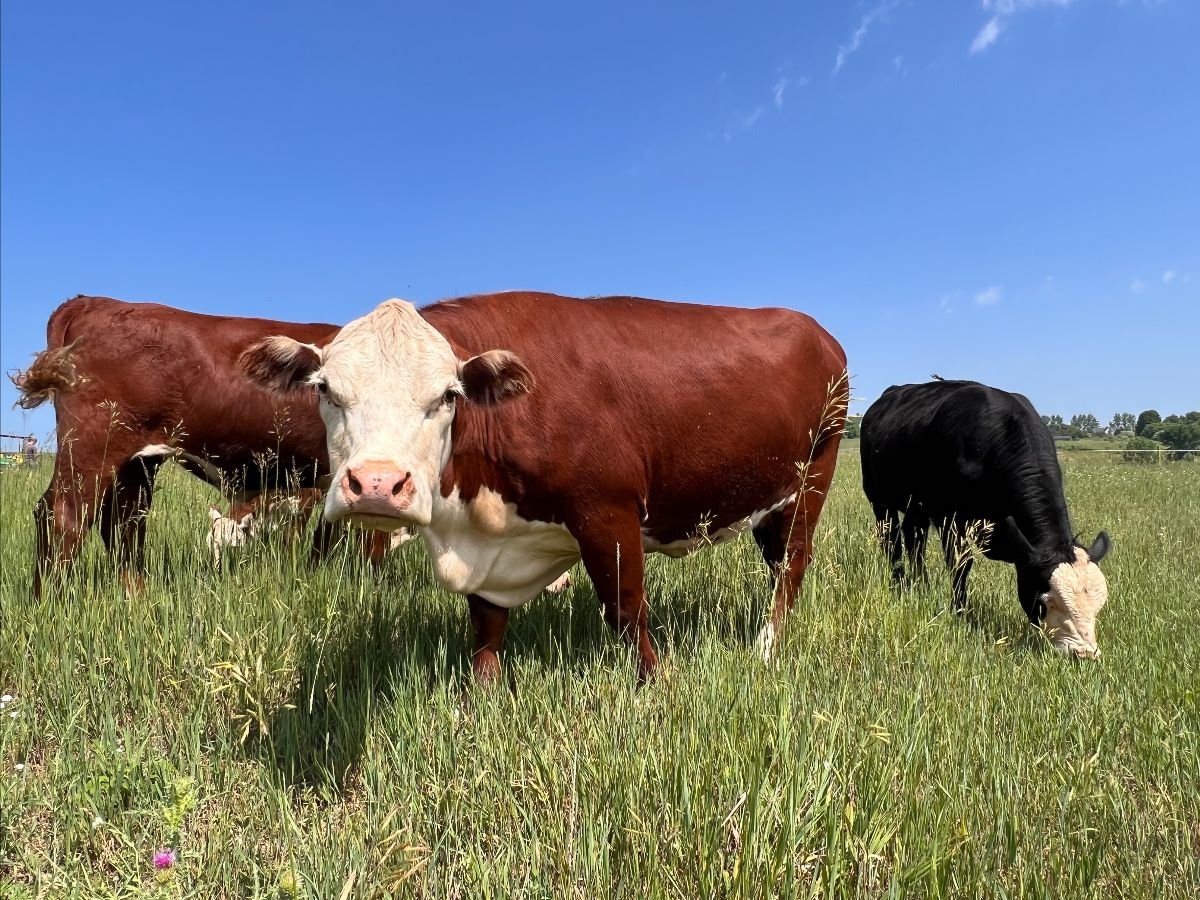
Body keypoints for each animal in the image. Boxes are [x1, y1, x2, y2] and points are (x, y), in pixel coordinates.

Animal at [12, 296, 348, 596]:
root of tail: (90, 301)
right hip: (90, 448)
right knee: (63, 517)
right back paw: (47, 602)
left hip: (135, 463)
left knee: (123, 525)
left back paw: (137, 600)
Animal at [241, 291, 848, 682]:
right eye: (325, 390)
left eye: (447, 395)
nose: (376, 484)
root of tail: (818, 332)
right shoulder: (487, 540)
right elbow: (486, 624)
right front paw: (480, 696)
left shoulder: (608, 514)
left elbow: (626, 608)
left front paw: (654, 687)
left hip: (813, 478)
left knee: (791, 567)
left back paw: (766, 646)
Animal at [859, 380, 1111, 658]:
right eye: (1046, 601)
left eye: (1100, 605)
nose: (1084, 654)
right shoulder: (952, 520)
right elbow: (961, 566)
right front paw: (960, 612)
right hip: (880, 499)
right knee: (891, 539)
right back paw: (898, 582)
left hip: (918, 506)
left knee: (914, 537)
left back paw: (920, 585)